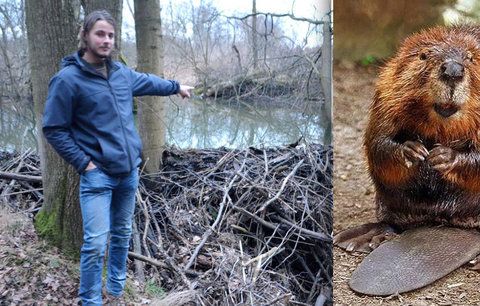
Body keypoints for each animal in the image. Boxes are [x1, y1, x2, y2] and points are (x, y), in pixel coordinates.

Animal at [334, 25, 480, 294]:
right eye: (423, 56)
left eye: (471, 58)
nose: (452, 71)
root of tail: (446, 224)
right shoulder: (386, 90)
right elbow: (379, 142)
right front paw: (413, 151)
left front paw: (443, 156)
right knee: (395, 223)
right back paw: (359, 238)